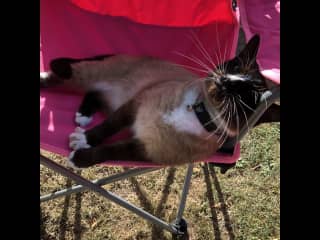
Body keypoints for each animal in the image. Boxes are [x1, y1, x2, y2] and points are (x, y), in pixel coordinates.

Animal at [40, 34, 280, 170]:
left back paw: (83, 116)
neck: (196, 112)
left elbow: (112, 150)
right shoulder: (135, 105)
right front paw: (84, 139)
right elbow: (107, 128)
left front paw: (80, 154)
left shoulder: (145, 150)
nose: (226, 81)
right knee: (65, 72)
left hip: (107, 96)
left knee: (92, 93)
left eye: (246, 96)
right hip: (91, 75)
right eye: (236, 68)